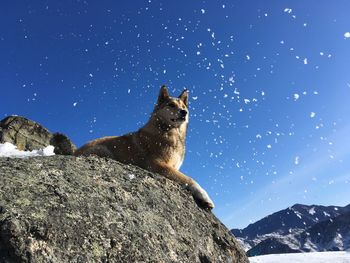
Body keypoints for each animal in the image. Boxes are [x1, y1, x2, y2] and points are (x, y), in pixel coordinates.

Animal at [75, 86, 215, 210]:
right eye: (171, 105)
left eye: (184, 107)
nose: (184, 112)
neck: (167, 130)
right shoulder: (157, 164)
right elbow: (189, 179)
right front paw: (204, 196)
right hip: (103, 150)